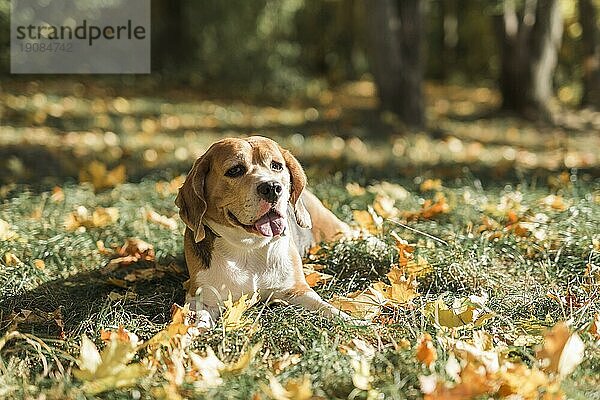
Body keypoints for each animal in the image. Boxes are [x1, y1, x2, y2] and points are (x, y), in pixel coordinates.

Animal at [175, 136, 366, 326]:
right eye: (235, 170)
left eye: (276, 165)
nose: (272, 187)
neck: (248, 246)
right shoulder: (201, 298)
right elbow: (197, 321)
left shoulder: (298, 290)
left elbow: (327, 308)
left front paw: (354, 322)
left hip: (335, 229)